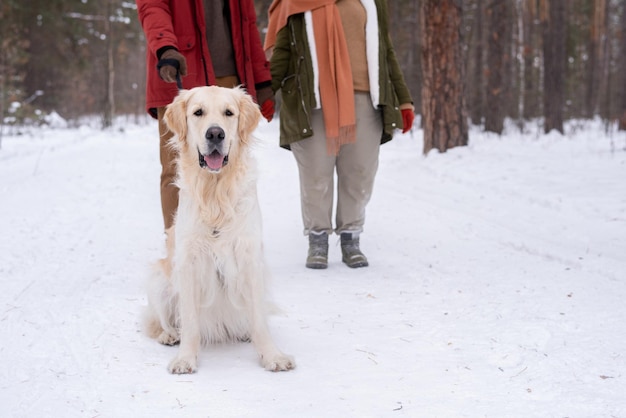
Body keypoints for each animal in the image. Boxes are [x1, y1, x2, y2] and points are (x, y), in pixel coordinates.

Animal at [144, 86, 294, 374]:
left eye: (229, 113)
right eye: (198, 112)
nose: (215, 134)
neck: (215, 193)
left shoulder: (249, 258)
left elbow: (259, 320)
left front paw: (272, 355)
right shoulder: (188, 263)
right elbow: (190, 320)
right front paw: (185, 358)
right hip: (158, 278)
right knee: (161, 319)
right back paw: (169, 335)